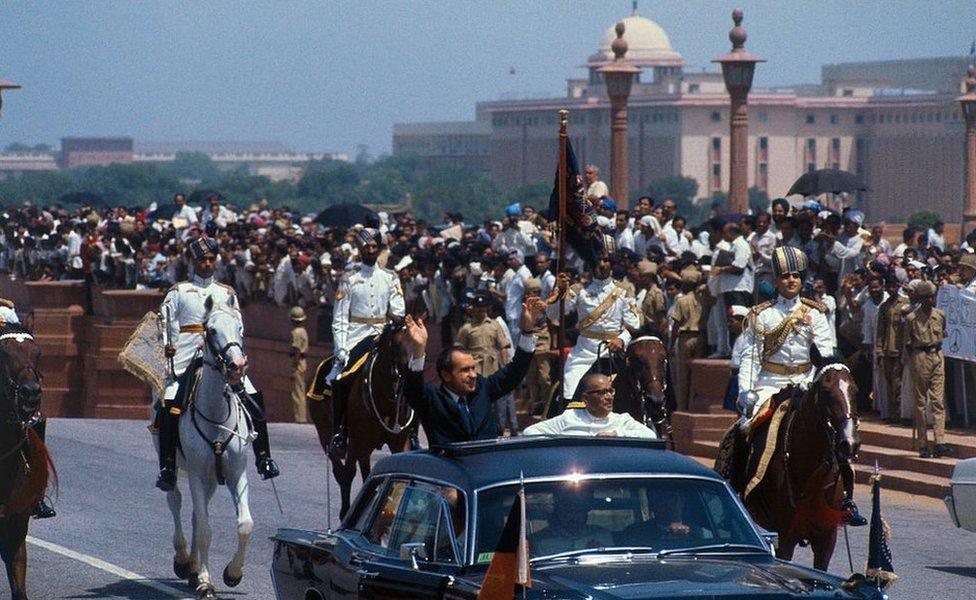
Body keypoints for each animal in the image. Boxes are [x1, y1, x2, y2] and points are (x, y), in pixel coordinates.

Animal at [166, 296, 255, 600]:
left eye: (240, 327)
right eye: (212, 330)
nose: (237, 365)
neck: (217, 416)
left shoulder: (237, 474)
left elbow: (245, 525)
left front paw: (233, 573)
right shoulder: (194, 472)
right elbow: (205, 528)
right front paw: (206, 582)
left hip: (212, 480)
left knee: (195, 513)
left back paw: (193, 568)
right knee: (176, 501)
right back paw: (184, 561)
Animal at [310, 324, 418, 516]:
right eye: (397, 345)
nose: (409, 380)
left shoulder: (399, 442)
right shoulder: (361, 444)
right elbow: (364, 476)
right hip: (326, 435)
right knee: (343, 472)